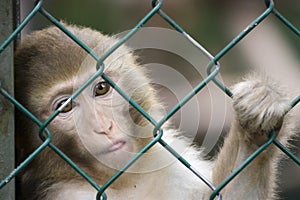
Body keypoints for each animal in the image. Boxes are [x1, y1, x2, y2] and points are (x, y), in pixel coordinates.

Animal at [13, 23, 292, 200]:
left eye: (101, 88)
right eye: (65, 107)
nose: (104, 127)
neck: (124, 182)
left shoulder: (170, 164)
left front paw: (255, 122)